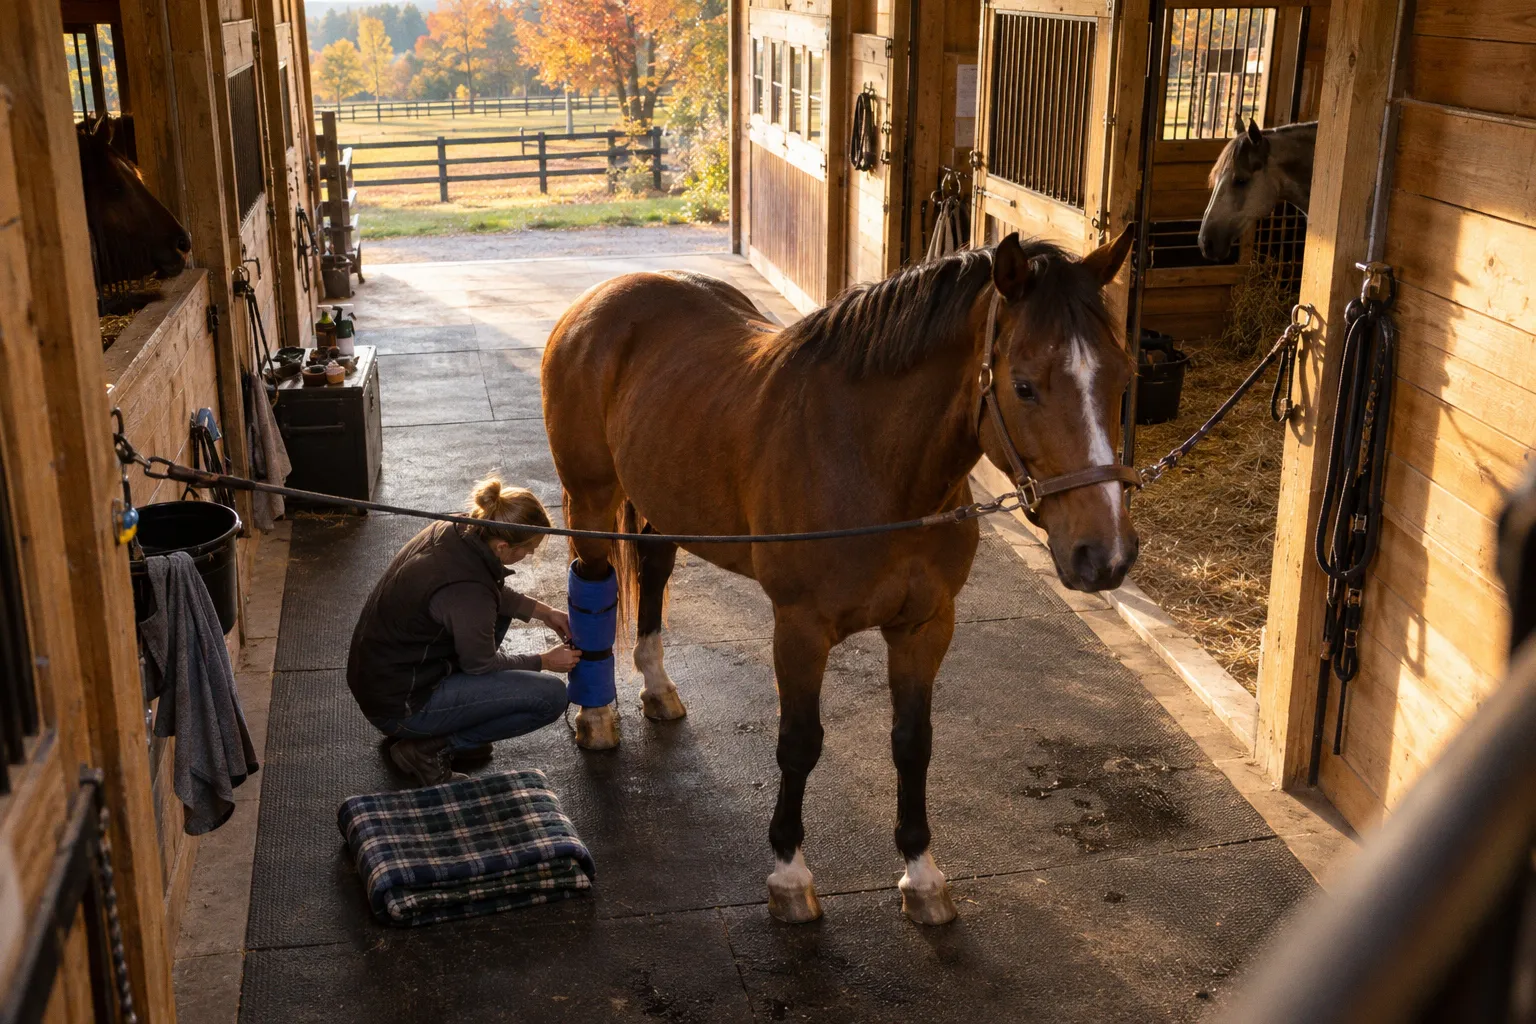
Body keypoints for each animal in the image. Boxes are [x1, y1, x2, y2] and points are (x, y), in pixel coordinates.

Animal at [540, 227, 1138, 926]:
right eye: (1023, 386)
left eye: (1123, 376)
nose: (1106, 555)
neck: (873, 465)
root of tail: (603, 298)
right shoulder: (799, 629)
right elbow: (799, 742)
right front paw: (789, 874)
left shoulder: (926, 625)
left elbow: (913, 742)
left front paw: (922, 874)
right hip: (590, 500)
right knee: (593, 580)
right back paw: (596, 716)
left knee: (655, 572)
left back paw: (658, 688)